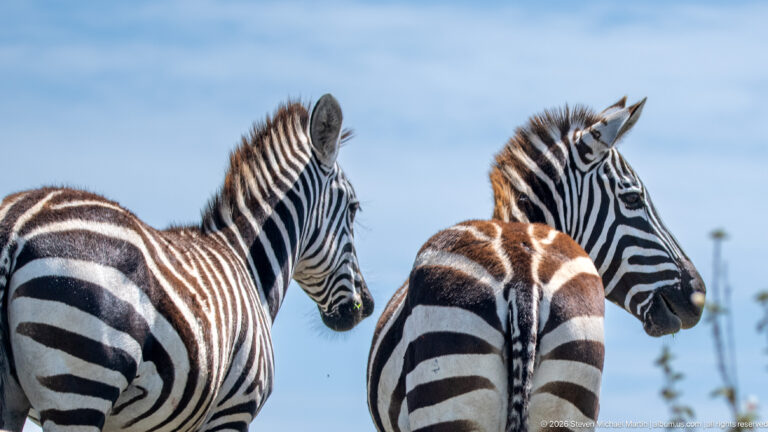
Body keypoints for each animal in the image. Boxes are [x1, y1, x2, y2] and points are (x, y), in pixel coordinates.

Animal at [0, 94, 374, 432]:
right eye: (354, 208)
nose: (366, 306)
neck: (248, 265)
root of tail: (18, 222)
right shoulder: (232, 411)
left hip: (18, 400)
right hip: (80, 384)